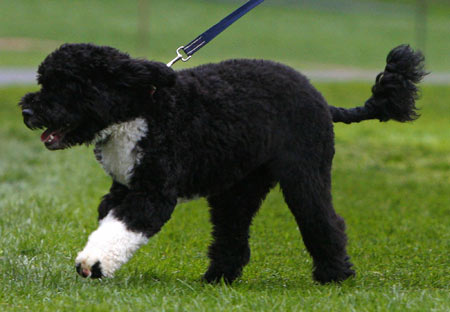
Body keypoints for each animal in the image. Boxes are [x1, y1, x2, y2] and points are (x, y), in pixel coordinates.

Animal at [18, 42, 426, 284]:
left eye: (67, 84)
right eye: (44, 80)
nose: (27, 110)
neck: (141, 108)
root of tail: (322, 100)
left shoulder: (152, 193)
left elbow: (123, 226)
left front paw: (94, 263)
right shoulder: (122, 187)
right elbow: (110, 220)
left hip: (304, 174)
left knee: (324, 221)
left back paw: (335, 274)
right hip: (238, 187)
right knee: (233, 233)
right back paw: (219, 277)